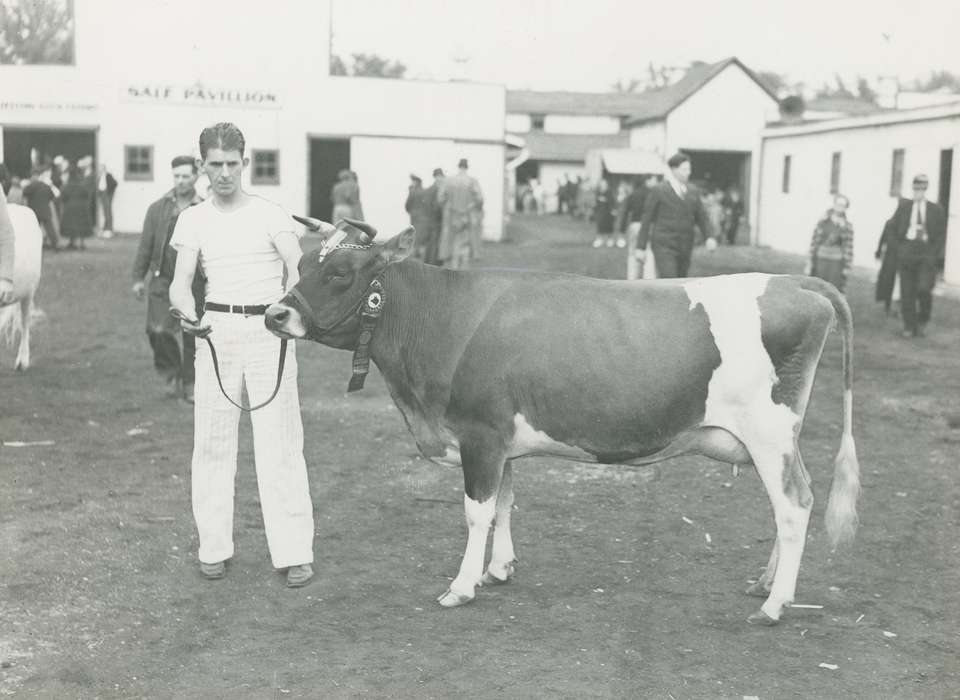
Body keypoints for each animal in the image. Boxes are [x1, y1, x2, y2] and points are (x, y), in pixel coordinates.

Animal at [264, 217, 861, 626]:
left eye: (340, 273)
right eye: (302, 266)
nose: (274, 313)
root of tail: (797, 282)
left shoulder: (480, 435)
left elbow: (476, 513)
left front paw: (461, 585)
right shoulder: (500, 439)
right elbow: (505, 503)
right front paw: (499, 569)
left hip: (769, 432)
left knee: (795, 504)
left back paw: (776, 604)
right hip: (772, 439)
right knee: (787, 506)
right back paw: (765, 585)